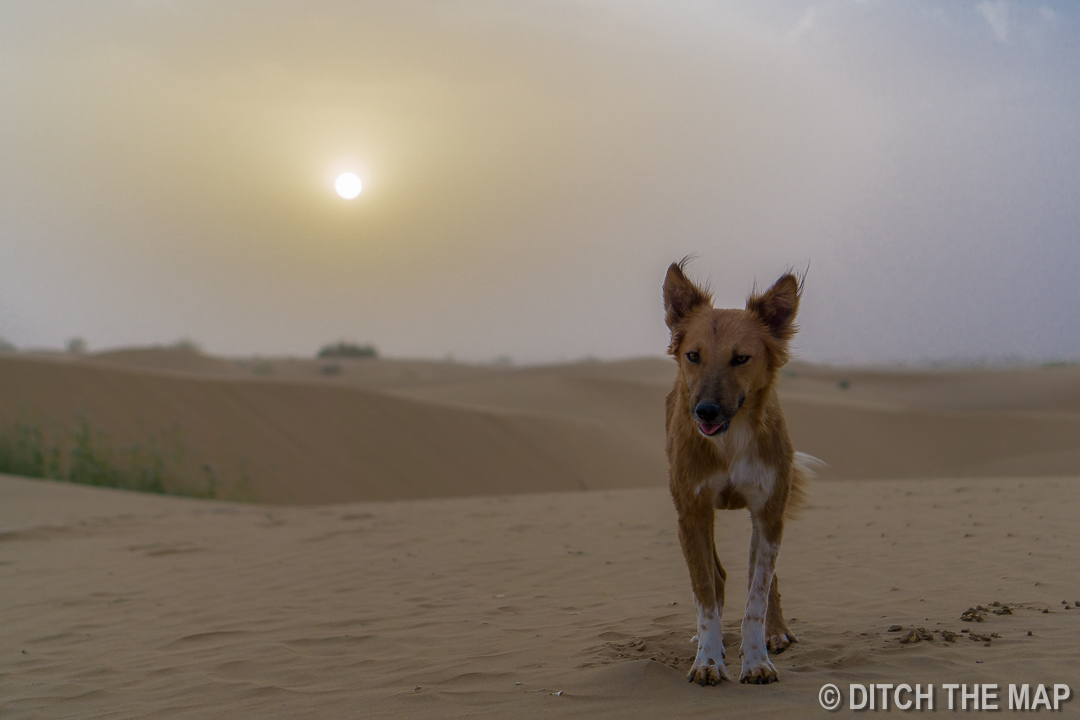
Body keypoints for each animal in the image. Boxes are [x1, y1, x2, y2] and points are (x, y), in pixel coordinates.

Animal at [656, 259, 816, 686]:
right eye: (693, 355)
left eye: (741, 358)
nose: (706, 411)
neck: (729, 441)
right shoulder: (692, 513)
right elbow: (705, 594)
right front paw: (708, 659)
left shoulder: (768, 513)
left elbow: (756, 598)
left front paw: (757, 659)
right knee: (718, 576)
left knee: (766, 581)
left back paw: (776, 633)